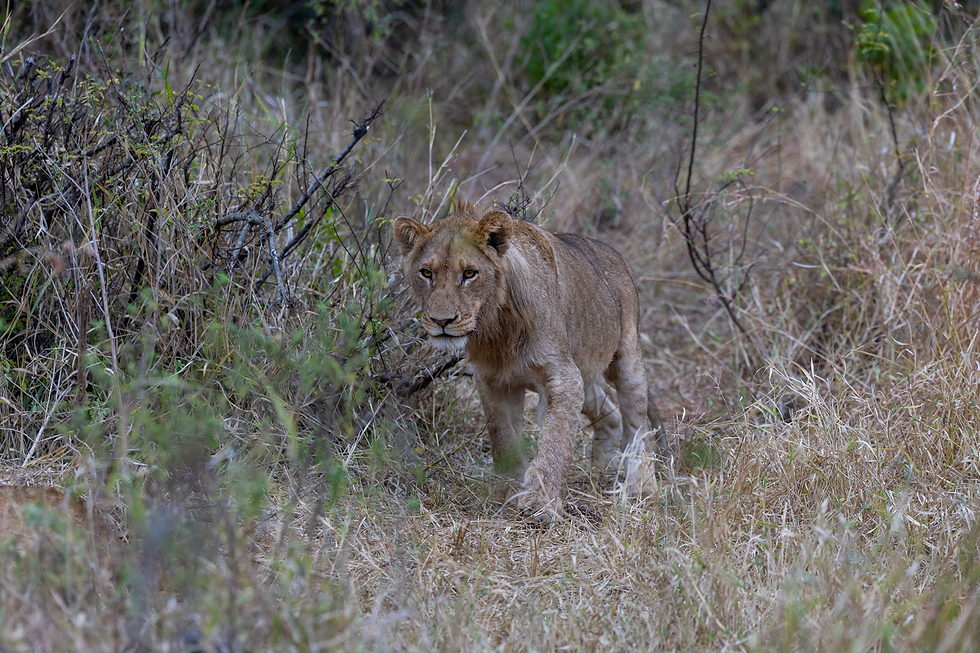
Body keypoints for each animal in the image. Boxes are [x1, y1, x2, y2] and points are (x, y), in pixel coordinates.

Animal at [394, 199, 669, 519]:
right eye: (426, 273)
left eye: (470, 274)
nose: (441, 321)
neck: (496, 328)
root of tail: (614, 254)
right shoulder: (493, 381)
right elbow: (503, 437)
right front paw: (509, 492)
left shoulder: (562, 377)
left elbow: (555, 440)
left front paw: (540, 501)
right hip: (584, 371)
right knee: (609, 414)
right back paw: (602, 467)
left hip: (626, 359)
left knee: (638, 426)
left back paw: (642, 487)